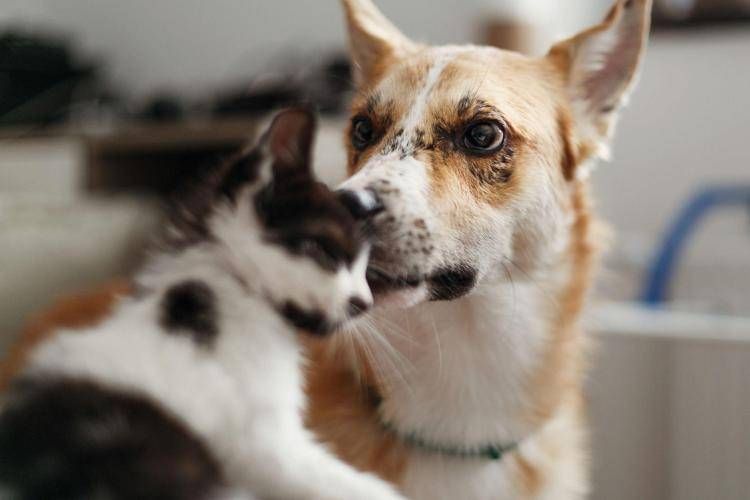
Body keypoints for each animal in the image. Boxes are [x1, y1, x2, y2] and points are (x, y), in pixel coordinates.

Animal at [0, 108, 406, 500]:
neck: (232, 287)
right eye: (325, 252)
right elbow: (356, 486)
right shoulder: (265, 444)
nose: (363, 302)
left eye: (364, 268)